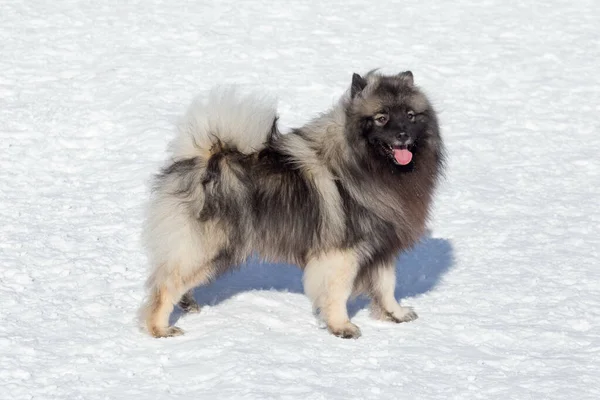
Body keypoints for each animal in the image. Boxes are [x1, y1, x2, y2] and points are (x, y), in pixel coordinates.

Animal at [138, 71, 442, 338]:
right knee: (165, 287)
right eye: (381, 118)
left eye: (410, 116)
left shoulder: (382, 247)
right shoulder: (342, 253)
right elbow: (338, 292)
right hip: (207, 247)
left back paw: (187, 303)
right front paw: (342, 327)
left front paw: (396, 314)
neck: (365, 166)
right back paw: (160, 329)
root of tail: (202, 158)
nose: (403, 135)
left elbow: (387, 286)